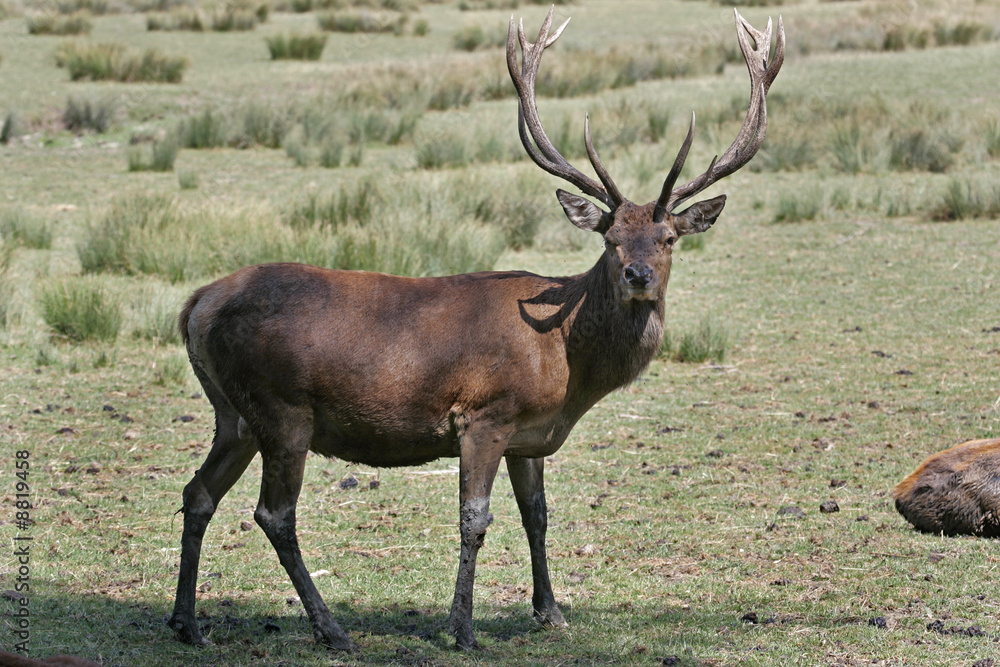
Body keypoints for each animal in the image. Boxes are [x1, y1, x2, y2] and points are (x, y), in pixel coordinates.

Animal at [167, 7, 784, 652]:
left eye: (667, 238)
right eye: (610, 240)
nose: (637, 276)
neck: (565, 363)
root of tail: (196, 305)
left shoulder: (527, 434)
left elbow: (537, 514)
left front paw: (550, 611)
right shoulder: (484, 415)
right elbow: (475, 518)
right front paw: (462, 628)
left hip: (234, 414)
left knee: (198, 493)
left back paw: (187, 622)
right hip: (283, 408)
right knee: (274, 514)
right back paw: (331, 629)